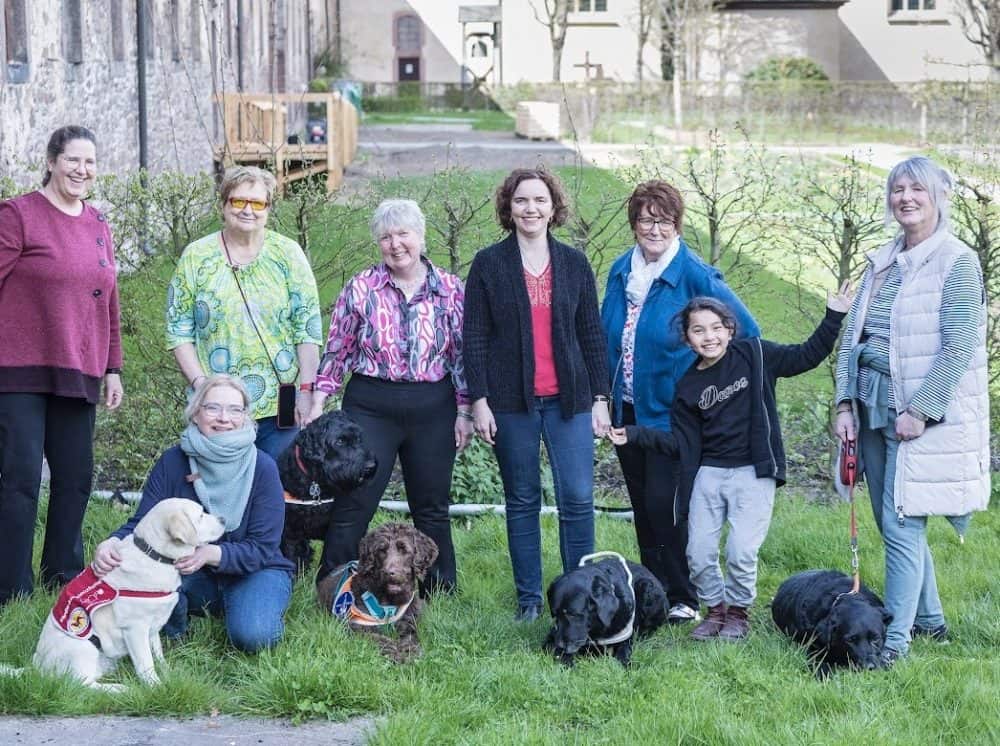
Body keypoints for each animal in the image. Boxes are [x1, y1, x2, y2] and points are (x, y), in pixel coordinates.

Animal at [21, 496, 224, 688]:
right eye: (201, 515)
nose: (223, 519)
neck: (153, 555)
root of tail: (36, 666)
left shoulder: (152, 629)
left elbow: (158, 655)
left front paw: (168, 674)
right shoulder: (135, 629)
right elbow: (146, 665)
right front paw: (156, 687)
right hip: (82, 647)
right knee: (83, 685)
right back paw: (121, 688)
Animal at [276, 410, 376, 572]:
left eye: (359, 438)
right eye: (340, 441)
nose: (370, 466)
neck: (316, 481)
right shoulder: (289, 531)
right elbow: (290, 558)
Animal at [314, 520, 436, 660]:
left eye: (404, 549)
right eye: (381, 550)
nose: (389, 573)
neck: (389, 603)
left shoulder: (408, 624)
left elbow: (410, 639)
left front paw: (410, 650)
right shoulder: (356, 626)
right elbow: (379, 639)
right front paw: (394, 652)